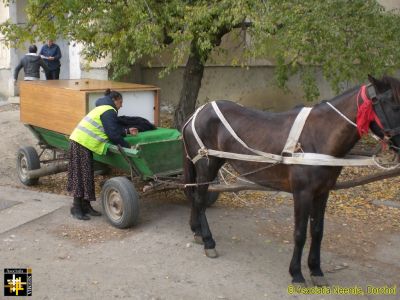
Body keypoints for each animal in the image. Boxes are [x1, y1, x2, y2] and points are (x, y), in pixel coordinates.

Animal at [183, 75, 400, 284]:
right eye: (393, 104)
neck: (320, 135)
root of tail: (196, 114)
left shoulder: (323, 192)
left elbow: (317, 231)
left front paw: (316, 270)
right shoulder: (302, 193)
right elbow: (300, 233)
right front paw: (296, 273)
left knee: (196, 197)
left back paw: (197, 231)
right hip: (206, 165)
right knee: (200, 200)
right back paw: (208, 240)